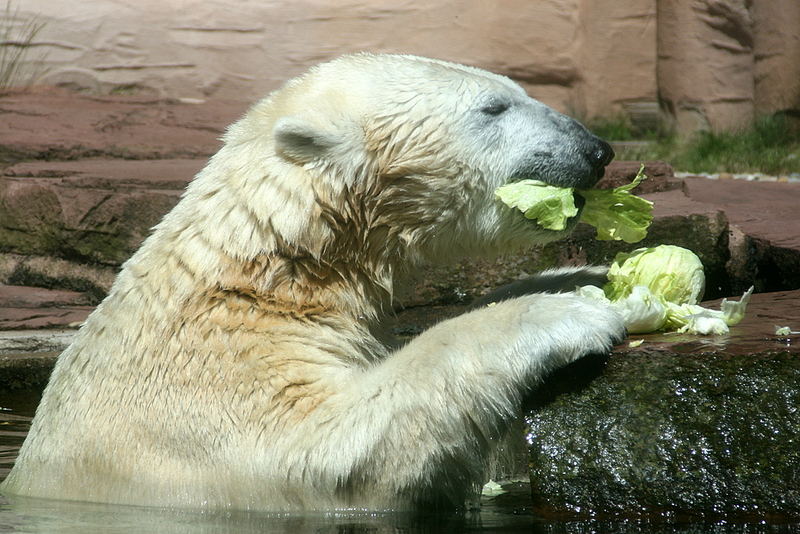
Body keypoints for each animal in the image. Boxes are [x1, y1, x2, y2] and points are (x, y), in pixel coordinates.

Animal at [0, 52, 620, 512]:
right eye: (494, 107)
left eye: (517, 89)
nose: (598, 149)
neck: (276, 273)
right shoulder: (217, 388)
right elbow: (332, 450)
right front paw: (568, 311)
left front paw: (586, 273)